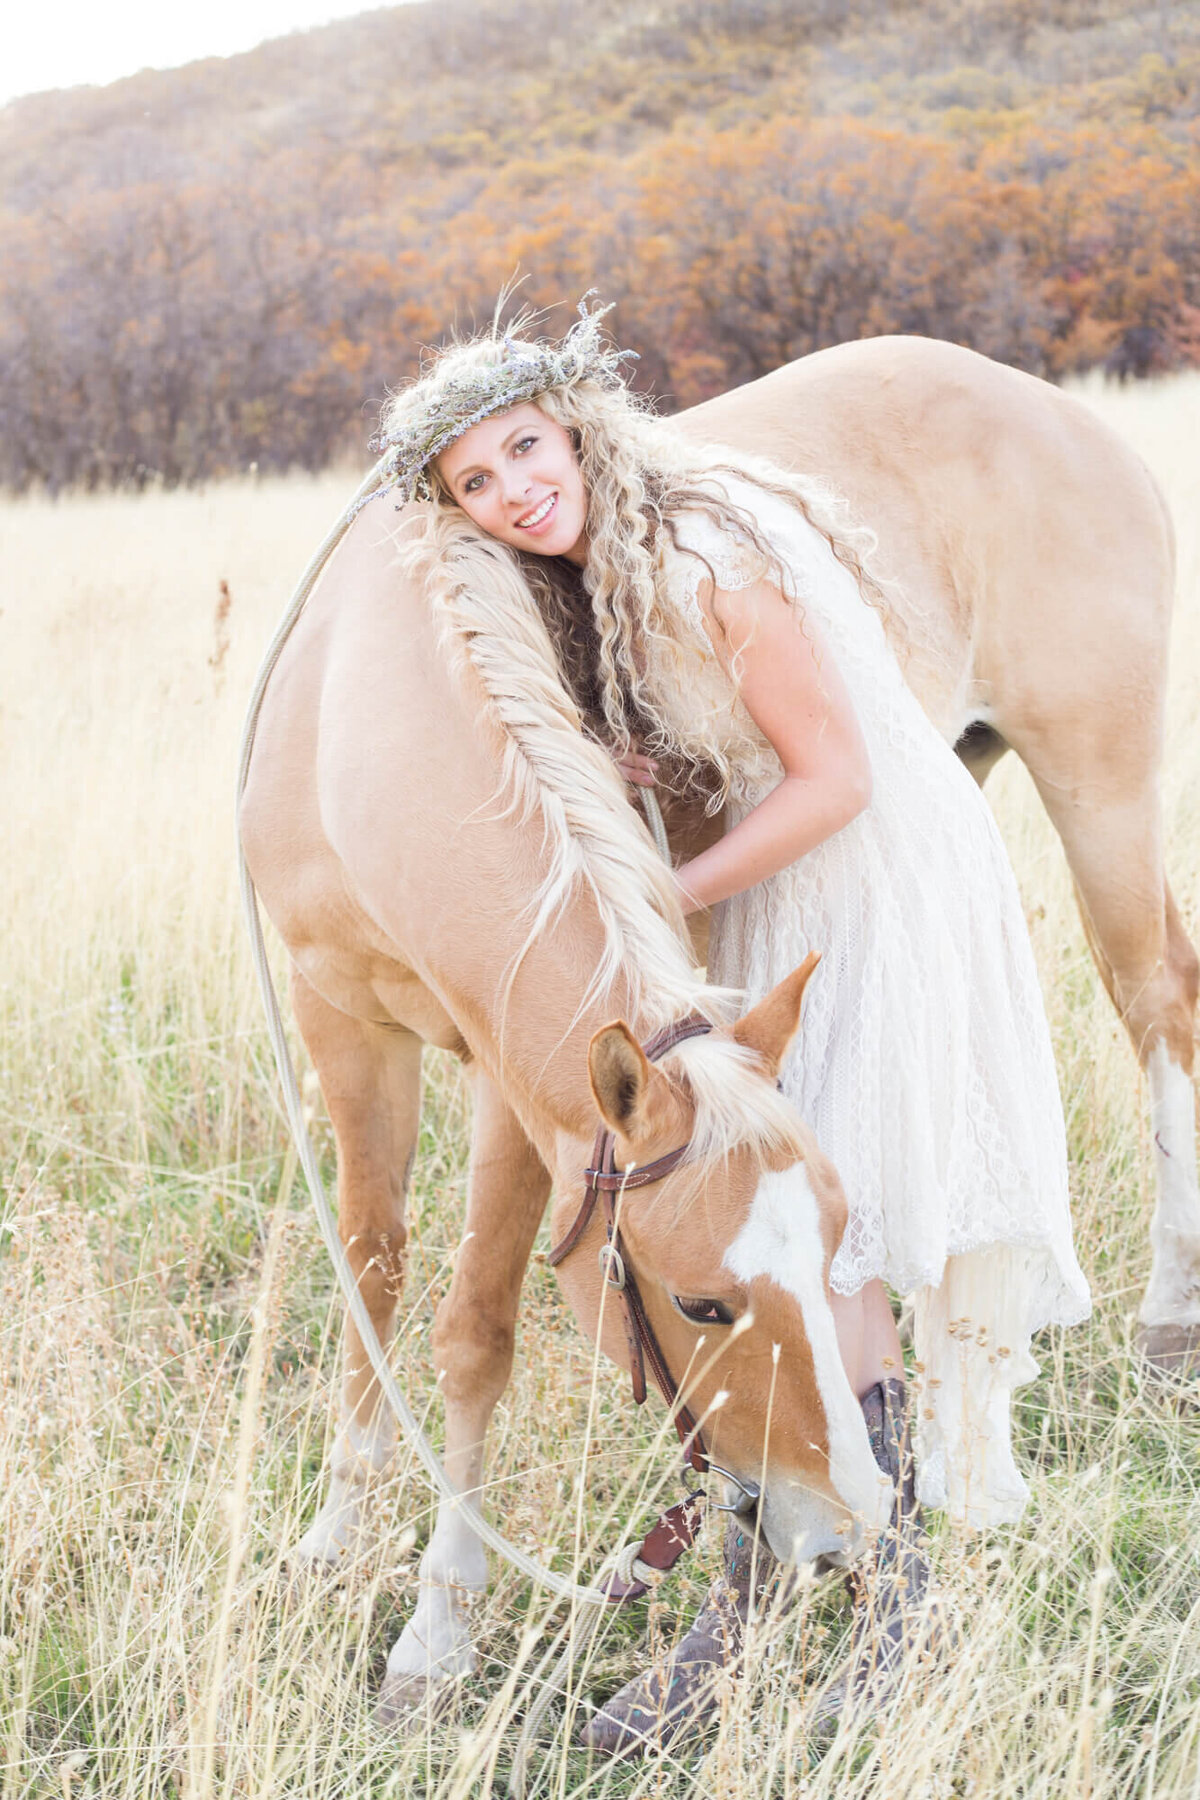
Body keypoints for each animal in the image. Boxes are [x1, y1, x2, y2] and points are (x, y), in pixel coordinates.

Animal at [239, 334, 1194, 1713]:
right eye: (699, 1306)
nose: (844, 1524)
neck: (358, 716)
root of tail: (1061, 411)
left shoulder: (515, 1082)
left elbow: (474, 1332)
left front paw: (437, 1627)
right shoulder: (341, 1019)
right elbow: (371, 1270)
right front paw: (333, 1540)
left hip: (1100, 787)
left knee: (1156, 1000)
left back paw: (1165, 1323)